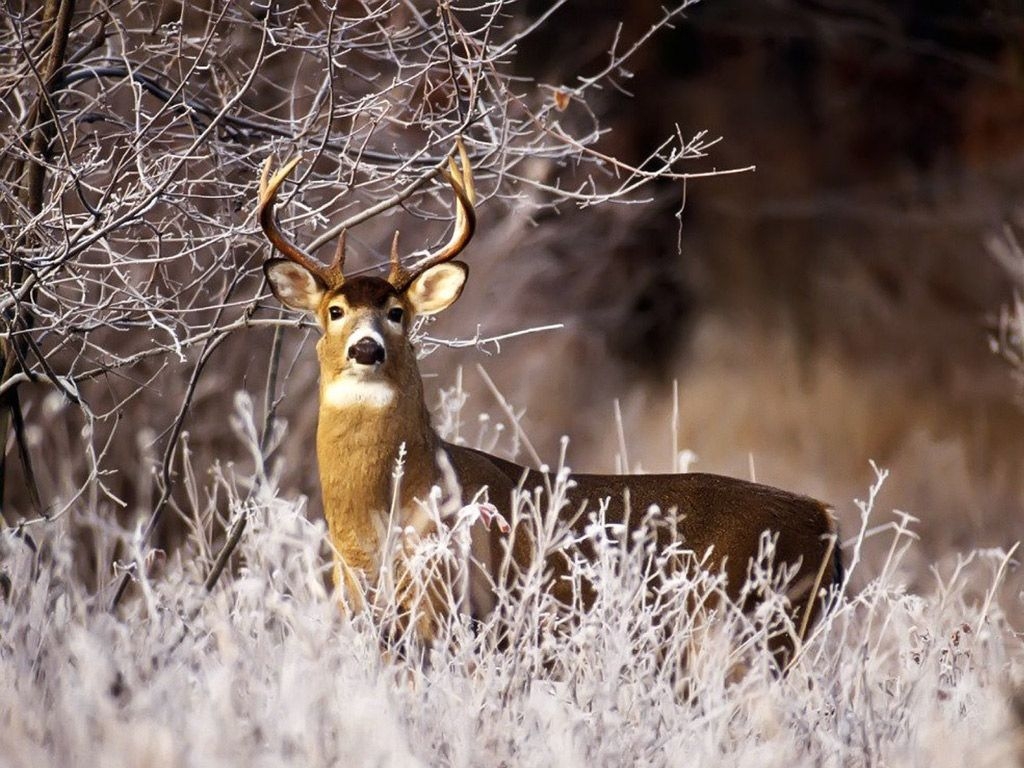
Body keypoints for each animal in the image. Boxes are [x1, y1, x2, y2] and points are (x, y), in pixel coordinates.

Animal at [256, 140, 839, 667]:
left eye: (397, 313)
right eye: (334, 311)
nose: (366, 348)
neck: (376, 522)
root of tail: (825, 518)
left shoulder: (451, 612)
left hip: (752, 629)